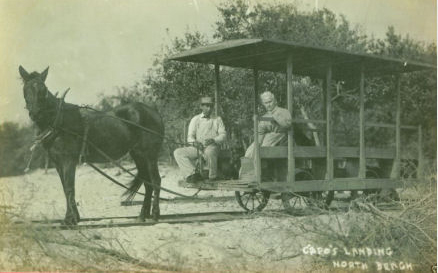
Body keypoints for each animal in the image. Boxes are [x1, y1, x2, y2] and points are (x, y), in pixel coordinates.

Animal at [18, 66, 163, 223]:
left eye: (43, 89)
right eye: (25, 89)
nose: (35, 113)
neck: (59, 120)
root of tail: (154, 111)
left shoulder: (68, 160)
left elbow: (69, 188)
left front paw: (71, 220)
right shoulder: (57, 163)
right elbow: (65, 188)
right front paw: (72, 217)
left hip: (150, 155)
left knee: (156, 181)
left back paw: (155, 215)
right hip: (138, 155)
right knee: (148, 183)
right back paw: (142, 216)